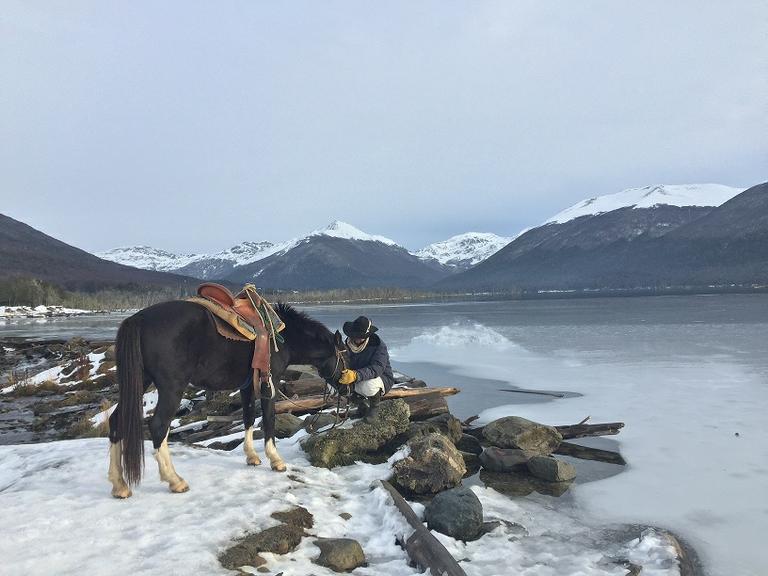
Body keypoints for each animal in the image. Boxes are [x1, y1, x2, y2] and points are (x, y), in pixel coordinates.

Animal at [106, 300, 346, 498]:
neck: (284, 337)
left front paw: (252, 456)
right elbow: (269, 419)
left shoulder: (247, 385)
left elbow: (249, 417)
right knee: (158, 425)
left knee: (116, 420)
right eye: (347, 355)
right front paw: (276, 460)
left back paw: (119, 485)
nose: (347, 389)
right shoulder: (270, 382)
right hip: (171, 387)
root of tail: (138, 319)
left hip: (141, 380)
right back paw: (174, 480)